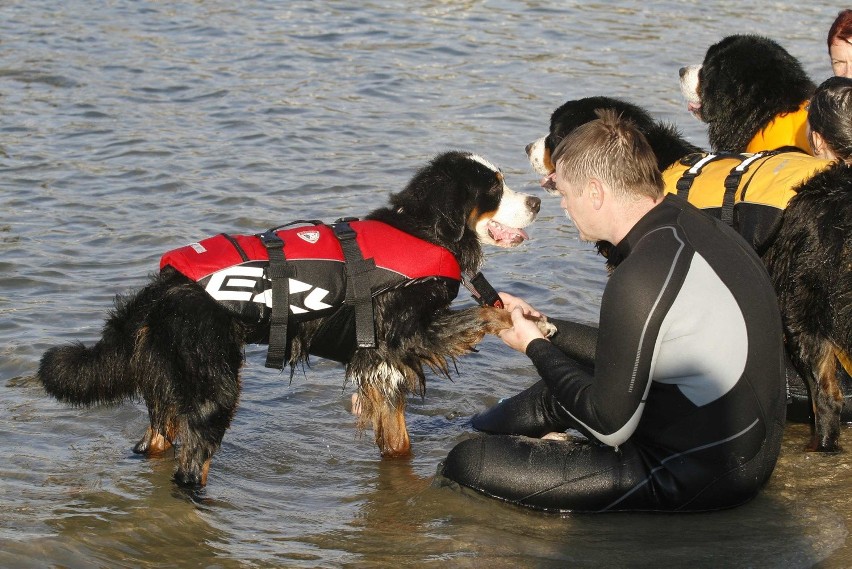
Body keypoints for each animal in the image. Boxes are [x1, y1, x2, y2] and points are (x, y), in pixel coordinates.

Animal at [36, 151, 544, 488]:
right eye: (495, 188)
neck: (423, 232)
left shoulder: (380, 364)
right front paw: (525, 321)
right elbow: (484, 312)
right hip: (215, 388)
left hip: (169, 388)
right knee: (190, 467)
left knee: (156, 442)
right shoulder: (405, 337)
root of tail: (163, 286)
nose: (537, 202)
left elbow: (395, 438)